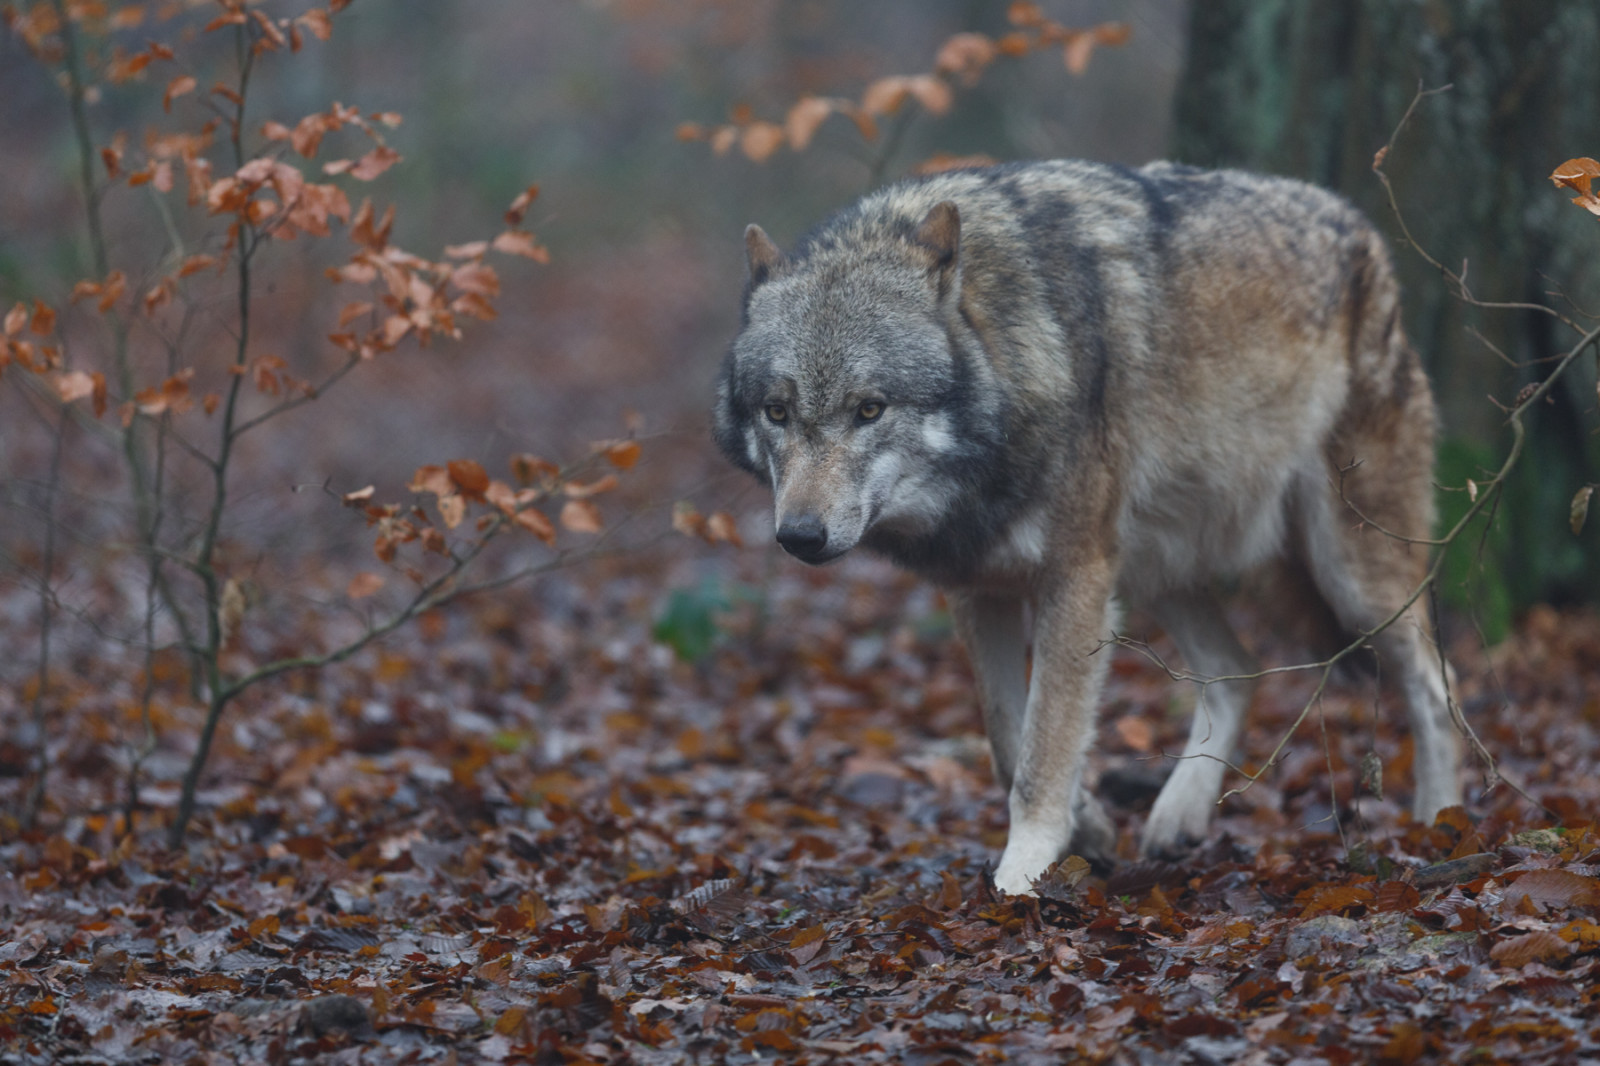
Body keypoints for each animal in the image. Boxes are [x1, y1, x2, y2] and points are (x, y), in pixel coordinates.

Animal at [713, 160, 1463, 895]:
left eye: (869, 409)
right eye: (777, 412)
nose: (800, 536)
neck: (1015, 360)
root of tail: (1361, 229)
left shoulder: (1074, 578)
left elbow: (1044, 747)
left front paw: (1021, 876)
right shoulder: (978, 589)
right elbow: (1007, 743)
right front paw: (1090, 830)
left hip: (1350, 572)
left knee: (1435, 682)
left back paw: (1441, 823)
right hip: (1153, 567)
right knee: (1239, 671)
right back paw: (1178, 816)